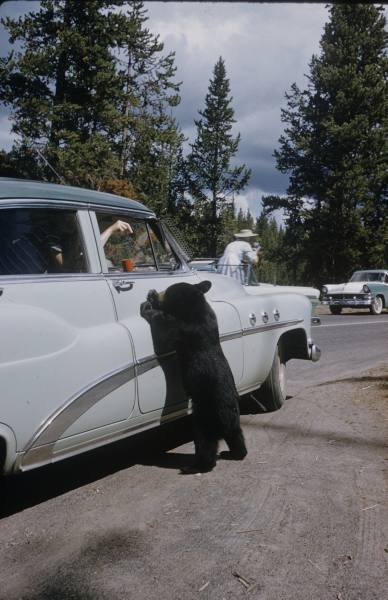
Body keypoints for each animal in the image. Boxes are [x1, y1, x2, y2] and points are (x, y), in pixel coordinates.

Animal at [147, 282, 247, 474]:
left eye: (167, 291)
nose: (155, 292)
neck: (196, 310)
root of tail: (227, 419)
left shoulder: (184, 330)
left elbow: (165, 332)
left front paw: (148, 307)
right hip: (233, 422)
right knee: (236, 436)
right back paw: (235, 453)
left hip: (205, 418)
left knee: (205, 443)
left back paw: (194, 466)